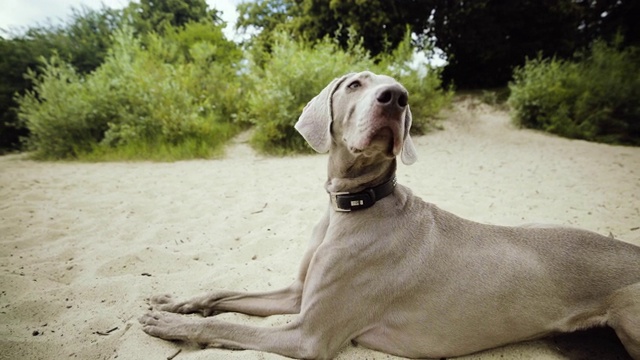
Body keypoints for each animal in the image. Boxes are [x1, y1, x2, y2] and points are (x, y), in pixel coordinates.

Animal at [140, 71, 640, 358]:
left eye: (401, 91)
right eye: (355, 84)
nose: (396, 97)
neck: (355, 206)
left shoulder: (308, 335)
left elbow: (224, 324)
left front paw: (172, 326)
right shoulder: (298, 295)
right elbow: (223, 294)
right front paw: (175, 304)